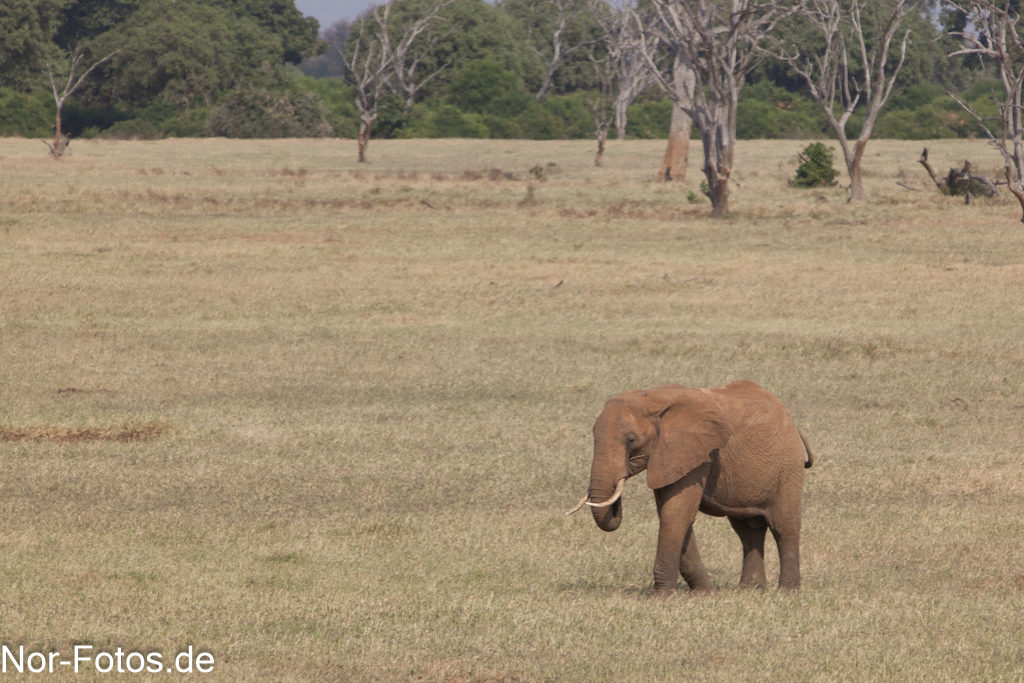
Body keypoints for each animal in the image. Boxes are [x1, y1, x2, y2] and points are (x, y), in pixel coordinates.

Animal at [565, 382, 811, 593]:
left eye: (630, 440)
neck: (654, 398)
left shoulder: (696, 453)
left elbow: (676, 513)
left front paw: (661, 596)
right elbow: (675, 515)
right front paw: (705, 594)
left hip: (787, 468)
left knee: (784, 526)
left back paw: (787, 591)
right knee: (748, 530)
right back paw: (750, 590)